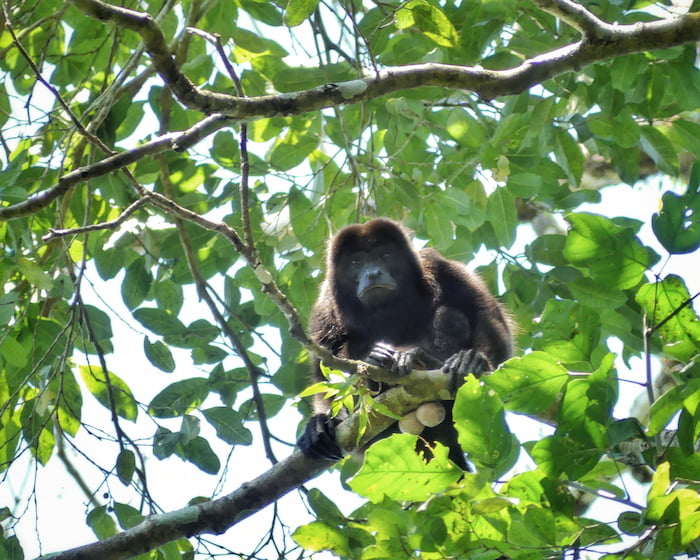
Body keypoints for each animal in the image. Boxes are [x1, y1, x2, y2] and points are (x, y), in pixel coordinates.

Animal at [297, 218, 513, 469]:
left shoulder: (438, 265)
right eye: (356, 262)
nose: (373, 273)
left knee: (452, 315)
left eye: (384, 255)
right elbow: (323, 369)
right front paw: (323, 422)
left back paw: (424, 361)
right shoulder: (325, 302)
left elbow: (484, 312)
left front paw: (473, 361)